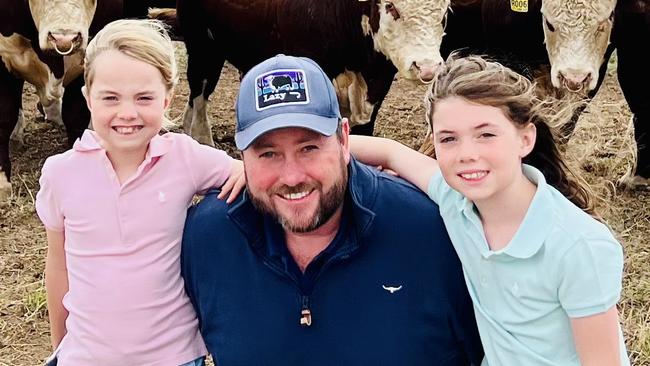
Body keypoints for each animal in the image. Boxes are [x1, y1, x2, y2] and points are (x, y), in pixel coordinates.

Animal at [176, 0, 450, 146]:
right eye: (391, 6)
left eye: (445, 12)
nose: (427, 66)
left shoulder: (378, 80)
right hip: (202, 44)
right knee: (200, 89)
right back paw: (200, 137)